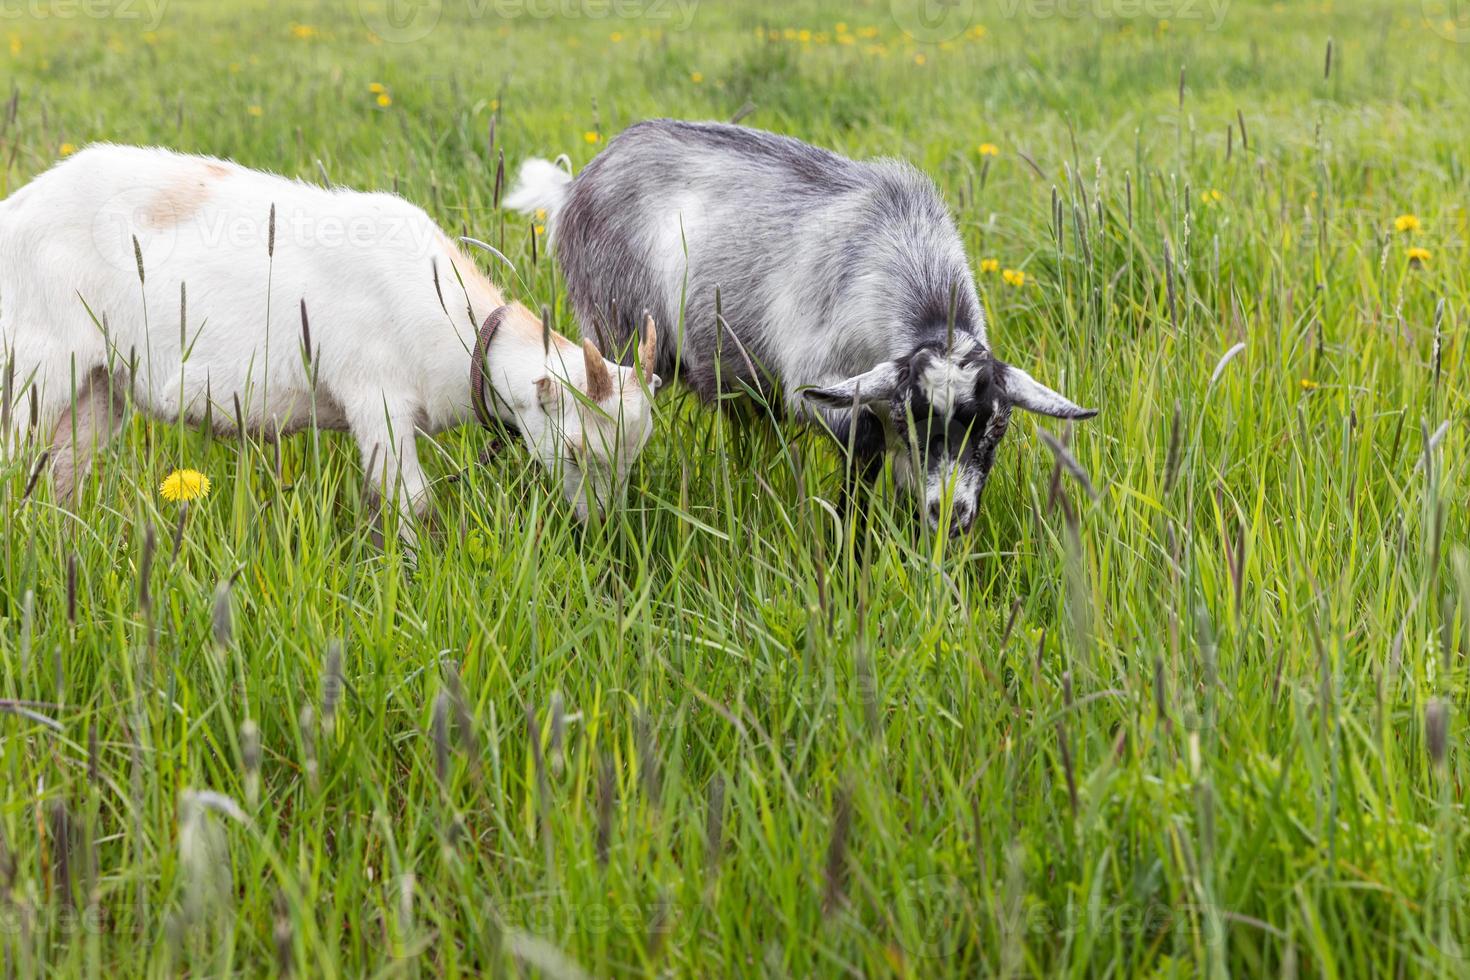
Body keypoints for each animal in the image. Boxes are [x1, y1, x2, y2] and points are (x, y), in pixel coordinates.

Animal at [0, 142, 655, 531]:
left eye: (634, 456)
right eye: (576, 451)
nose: (600, 529)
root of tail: (17, 207)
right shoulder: (375, 397)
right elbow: (411, 499)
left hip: (99, 383)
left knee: (60, 471)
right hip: (36, 362)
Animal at [505, 123, 1093, 540]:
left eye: (996, 428)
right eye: (915, 417)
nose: (952, 516)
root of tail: (572, 186)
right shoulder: (817, 390)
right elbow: (865, 445)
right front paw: (850, 545)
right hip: (613, 331)